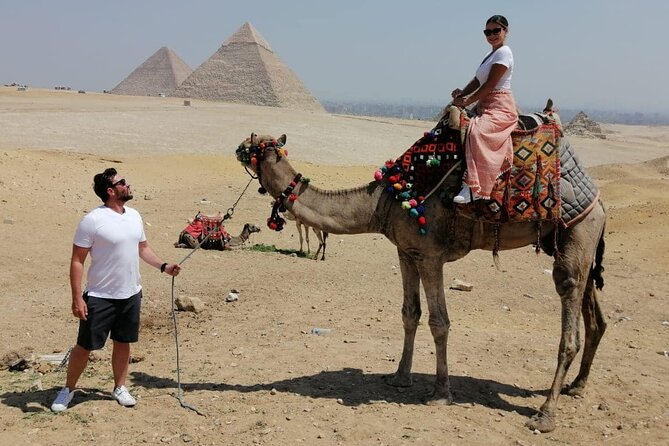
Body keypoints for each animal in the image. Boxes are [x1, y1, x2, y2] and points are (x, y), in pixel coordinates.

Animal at [235, 131, 607, 433]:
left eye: (256, 146)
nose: (238, 148)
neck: (384, 201)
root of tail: (600, 202)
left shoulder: (430, 255)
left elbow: (439, 322)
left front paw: (441, 393)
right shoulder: (406, 251)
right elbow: (409, 314)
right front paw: (400, 377)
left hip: (577, 236)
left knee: (568, 316)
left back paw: (545, 414)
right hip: (572, 243)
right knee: (595, 316)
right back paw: (578, 386)